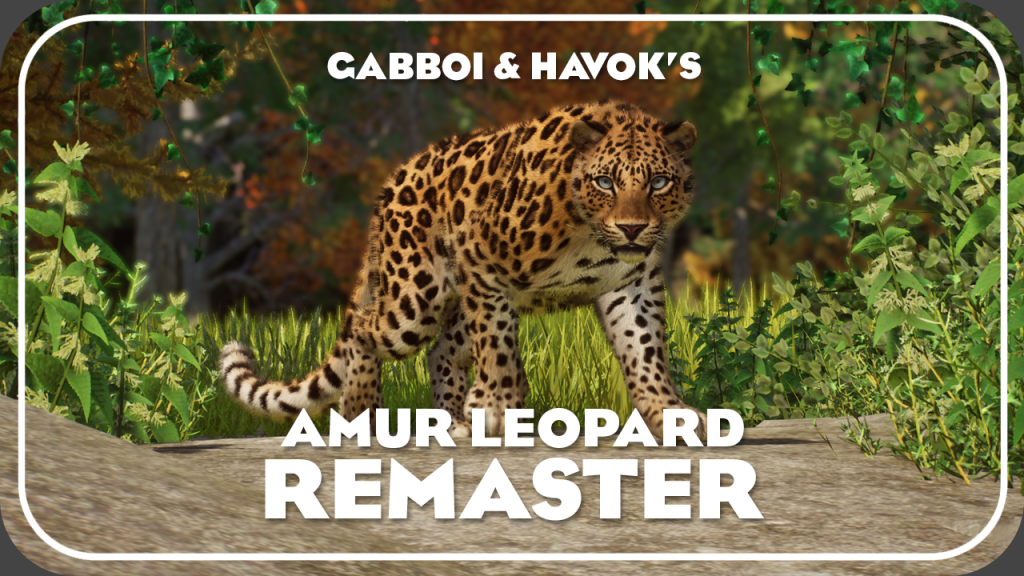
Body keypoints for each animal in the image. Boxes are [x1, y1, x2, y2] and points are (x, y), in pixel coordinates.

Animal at [219, 99, 708, 442]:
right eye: (606, 181)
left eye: (658, 182)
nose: (632, 228)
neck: (588, 233)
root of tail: (392, 182)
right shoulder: (483, 262)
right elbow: (498, 349)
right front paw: (494, 407)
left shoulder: (633, 283)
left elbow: (645, 349)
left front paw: (668, 414)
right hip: (414, 299)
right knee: (364, 326)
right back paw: (362, 414)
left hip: (454, 307)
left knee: (440, 352)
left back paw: (450, 422)